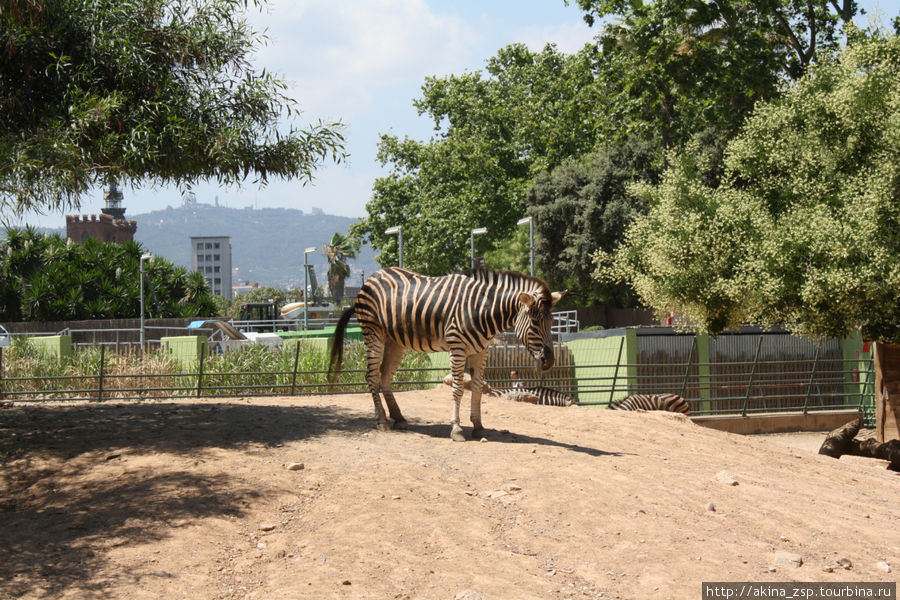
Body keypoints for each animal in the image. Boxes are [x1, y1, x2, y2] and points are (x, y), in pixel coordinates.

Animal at [326, 268, 568, 440]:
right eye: (535, 322)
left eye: (552, 322)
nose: (549, 362)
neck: (482, 310)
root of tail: (372, 277)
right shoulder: (457, 347)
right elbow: (459, 388)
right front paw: (457, 429)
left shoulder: (481, 350)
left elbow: (478, 388)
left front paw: (478, 427)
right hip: (373, 332)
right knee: (372, 375)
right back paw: (382, 420)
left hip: (395, 340)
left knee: (385, 376)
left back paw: (399, 417)